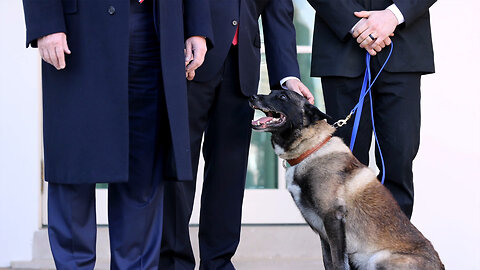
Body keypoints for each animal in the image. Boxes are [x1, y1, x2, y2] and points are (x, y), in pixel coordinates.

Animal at [249, 90, 444, 270]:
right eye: (271, 92)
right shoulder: (324, 234)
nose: (252, 97)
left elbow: (339, 263)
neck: (311, 149)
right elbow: (329, 262)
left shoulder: (333, 220)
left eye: (283, 97)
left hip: (378, 259)